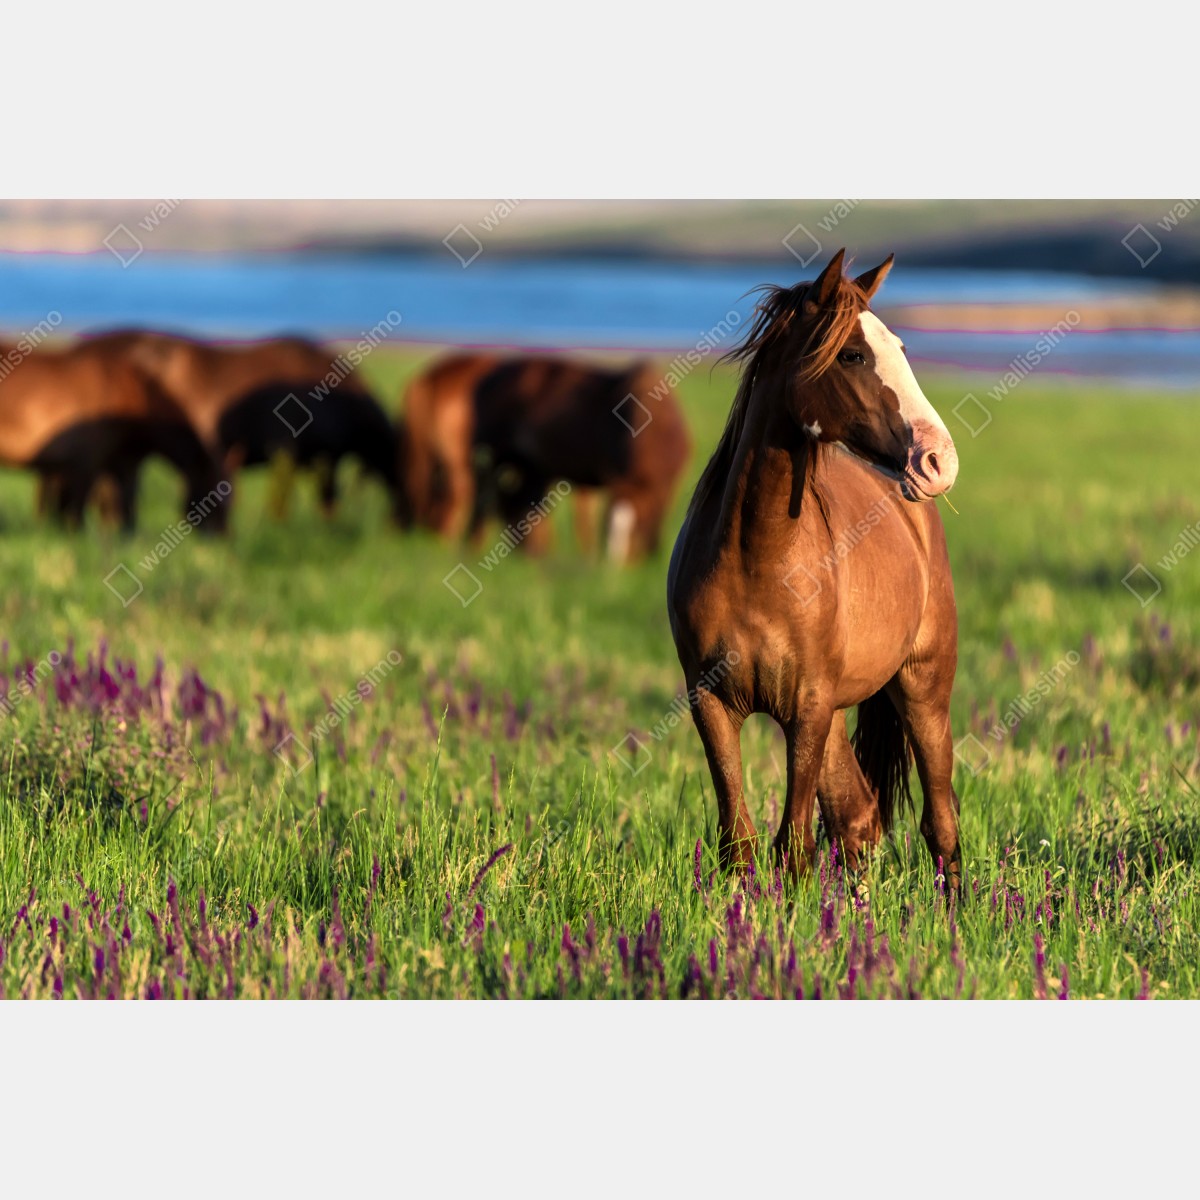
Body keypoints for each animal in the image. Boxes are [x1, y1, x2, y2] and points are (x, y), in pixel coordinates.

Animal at [0, 340, 229, 532]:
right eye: (215, 493)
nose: (221, 535)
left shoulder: (117, 462)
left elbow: (119, 502)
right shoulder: (86, 462)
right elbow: (80, 507)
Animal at [666, 250, 962, 888]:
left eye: (901, 347)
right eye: (851, 354)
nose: (938, 461)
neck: (759, 559)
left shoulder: (807, 707)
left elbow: (793, 848)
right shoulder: (714, 704)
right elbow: (740, 844)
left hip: (923, 691)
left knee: (940, 825)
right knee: (859, 818)